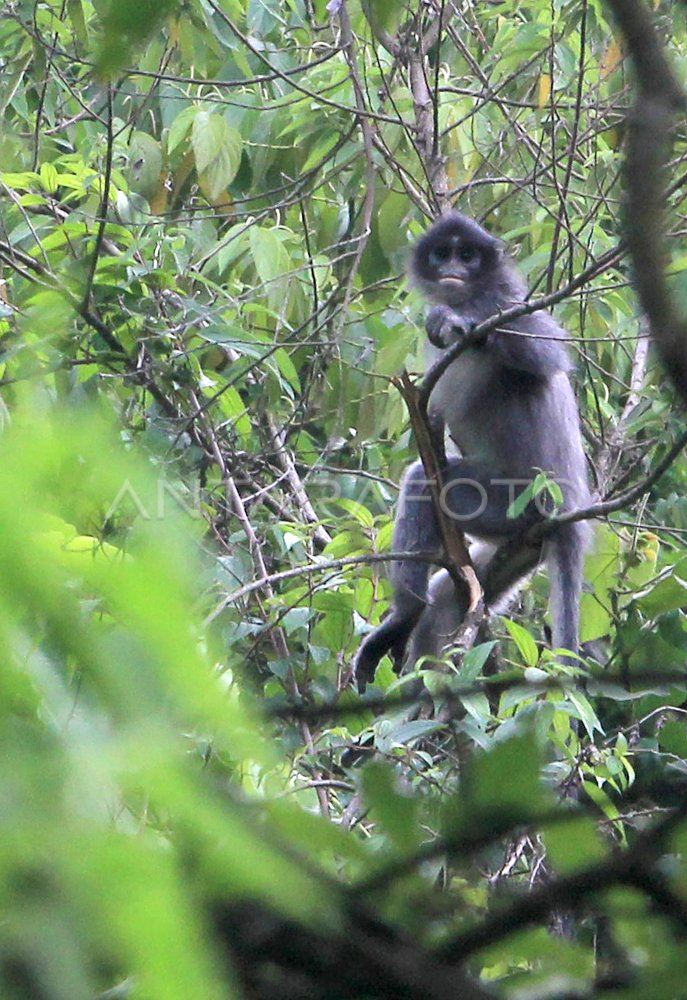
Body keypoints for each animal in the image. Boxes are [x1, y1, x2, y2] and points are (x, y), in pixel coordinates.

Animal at [354, 211, 592, 692]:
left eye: (467, 254)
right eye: (443, 253)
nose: (453, 268)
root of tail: (569, 513)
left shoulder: (509, 300)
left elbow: (548, 353)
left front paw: (461, 323)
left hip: (512, 504)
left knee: (424, 482)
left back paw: (406, 612)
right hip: (515, 547)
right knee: (447, 600)